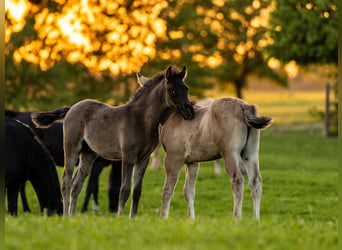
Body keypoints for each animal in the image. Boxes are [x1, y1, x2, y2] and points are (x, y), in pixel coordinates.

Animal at [32, 66, 195, 217]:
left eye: (186, 89)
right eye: (173, 91)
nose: (190, 112)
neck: (141, 120)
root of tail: (72, 107)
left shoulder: (143, 158)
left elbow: (137, 191)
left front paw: (133, 218)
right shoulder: (128, 157)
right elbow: (124, 190)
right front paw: (120, 217)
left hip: (88, 153)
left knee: (76, 184)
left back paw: (72, 216)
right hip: (72, 148)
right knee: (66, 181)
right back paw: (66, 215)